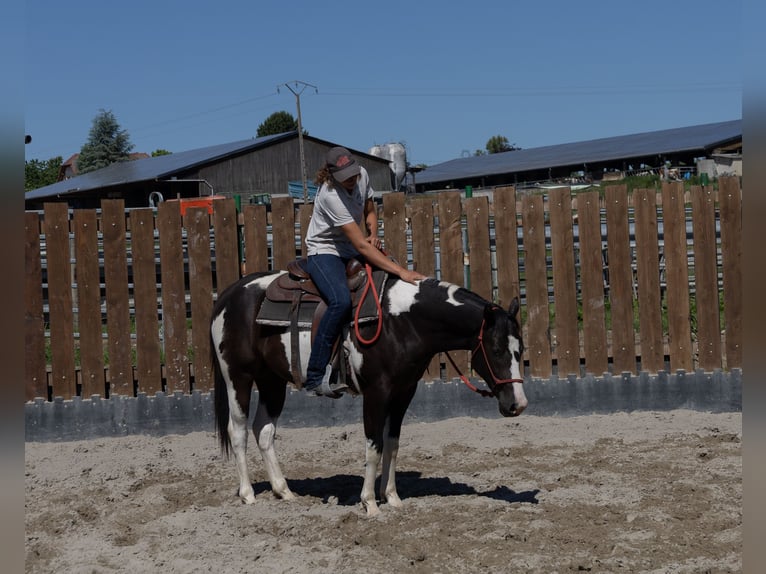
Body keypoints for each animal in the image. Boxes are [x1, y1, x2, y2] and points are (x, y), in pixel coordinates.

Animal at [210, 269, 527, 516]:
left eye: (520, 349)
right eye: (496, 349)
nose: (518, 404)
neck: (402, 322)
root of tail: (228, 295)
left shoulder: (403, 393)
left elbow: (392, 444)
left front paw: (393, 498)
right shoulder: (377, 393)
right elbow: (373, 446)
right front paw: (370, 503)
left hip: (272, 381)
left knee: (263, 430)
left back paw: (283, 491)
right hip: (238, 377)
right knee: (238, 430)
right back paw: (248, 494)